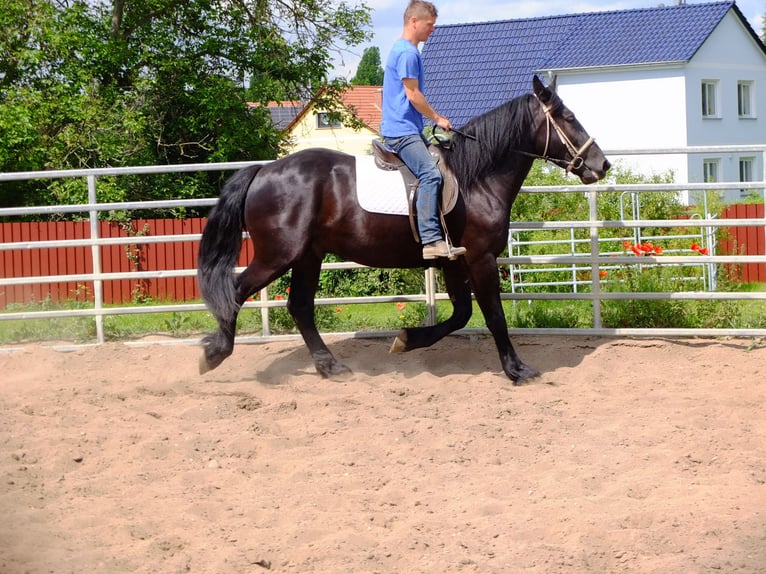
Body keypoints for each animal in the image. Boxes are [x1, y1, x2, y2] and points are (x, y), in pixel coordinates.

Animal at [196, 75, 612, 382]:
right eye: (568, 117)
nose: (602, 164)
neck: (476, 178)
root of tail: (263, 171)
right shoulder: (480, 259)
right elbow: (494, 316)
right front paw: (517, 369)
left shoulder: (453, 261)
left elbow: (461, 314)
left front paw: (406, 340)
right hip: (277, 255)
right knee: (236, 292)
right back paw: (214, 353)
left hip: (308, 256)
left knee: (299, 306)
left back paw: (330, 366)